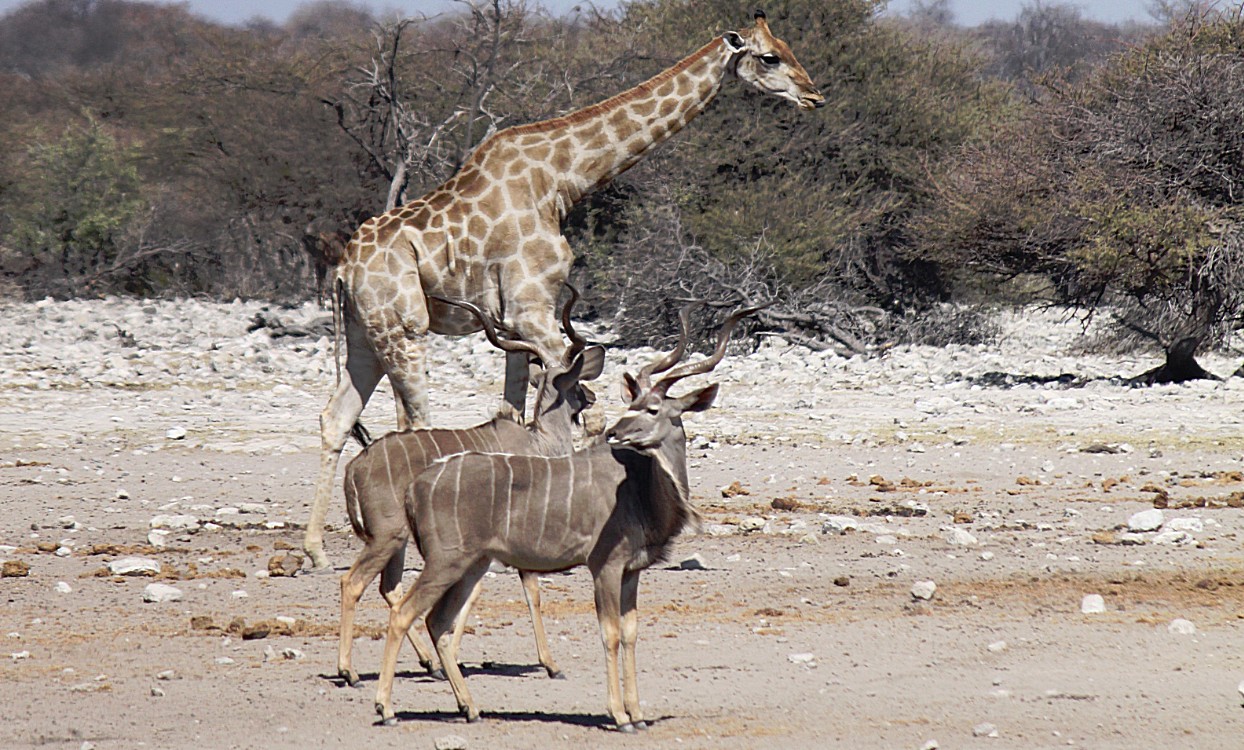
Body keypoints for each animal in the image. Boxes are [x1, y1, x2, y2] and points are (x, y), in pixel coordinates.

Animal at [304, 10, 821, 569]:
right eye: (769, 57)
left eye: (788, 47)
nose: (814, 95)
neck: (560, 179)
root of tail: (343, 269)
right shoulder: (532, 311)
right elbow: (588, 410)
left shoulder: (512, 318)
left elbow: (515, 409)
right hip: (404, 329)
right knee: (414, 418)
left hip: (365, 336)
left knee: (335, 417)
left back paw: (315, 550)